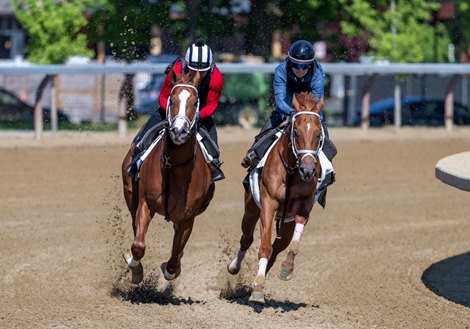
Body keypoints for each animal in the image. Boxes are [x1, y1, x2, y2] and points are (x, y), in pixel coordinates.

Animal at [122, 70, 216, 284]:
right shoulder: (146, 204)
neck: (174, 167)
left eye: (195, 102)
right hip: (130, 192)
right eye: (171, 100)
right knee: (133, 225)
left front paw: (172, 268)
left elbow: (174, 257)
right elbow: (138, 246)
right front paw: (135, 268)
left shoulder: (188, 217)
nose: (179, 131)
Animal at [229, 91, 324, 302]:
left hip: (286, 224)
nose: (307, 170)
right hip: (251, 209)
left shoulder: (304, 206)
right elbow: (264, 246)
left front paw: (286, 268)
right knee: (247, 238)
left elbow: (293, 245)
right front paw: (257, 290)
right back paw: (235, 268)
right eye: (296, 132)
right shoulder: (268, 204)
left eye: (318, 134)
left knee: (277, 248)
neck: (291, 170)